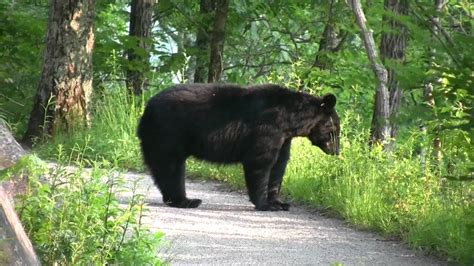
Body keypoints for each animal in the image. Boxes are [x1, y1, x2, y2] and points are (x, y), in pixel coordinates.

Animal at [138, 84, 340, 211]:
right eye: (335, 130)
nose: (336, 151)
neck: (290, 119)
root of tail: (146, 109)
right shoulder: (267, 128)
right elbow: (261, 162)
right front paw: (265, 204)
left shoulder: (283, 138)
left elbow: (279, 165)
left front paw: (279, 202)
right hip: (168, 134)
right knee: (170, 168)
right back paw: (185, 200)